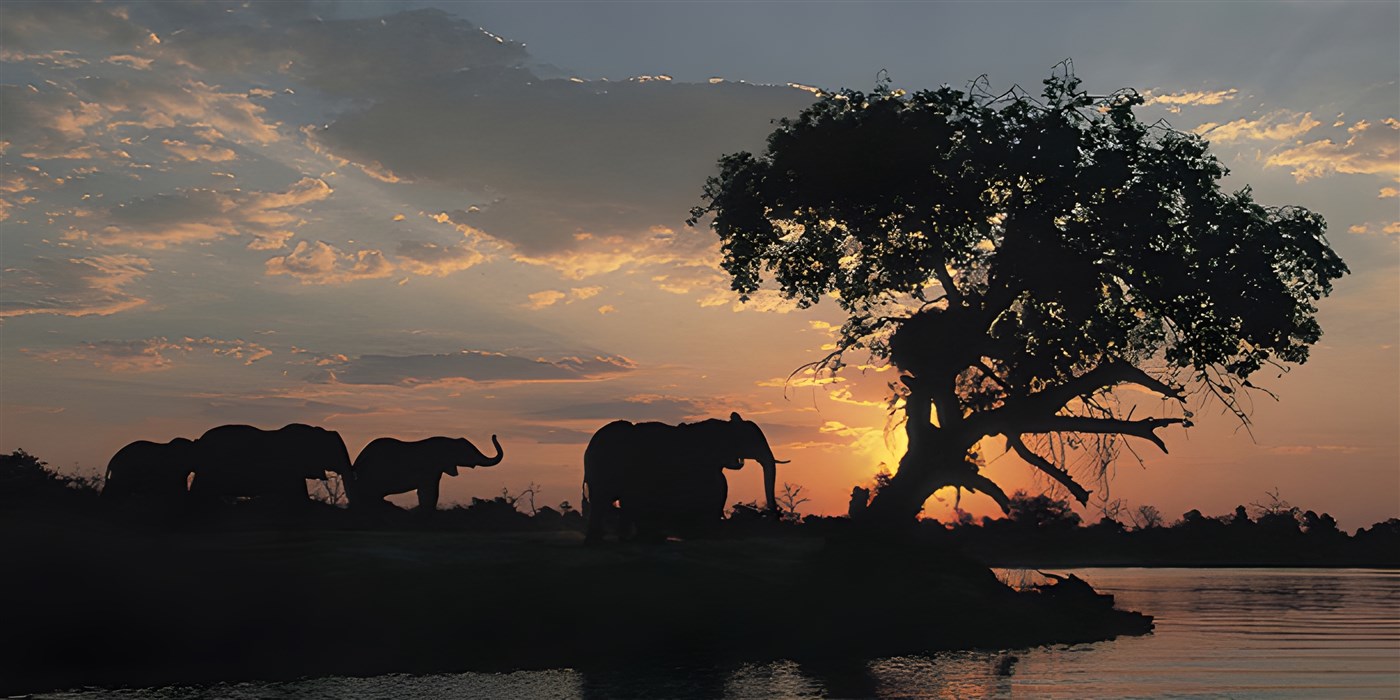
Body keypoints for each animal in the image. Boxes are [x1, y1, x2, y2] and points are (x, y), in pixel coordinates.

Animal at [349, 435, 503, 511]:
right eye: (466, 452)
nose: (494, 435)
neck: (448, 441)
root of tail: (357, 462)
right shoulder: (431, 468)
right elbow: (429, 491)